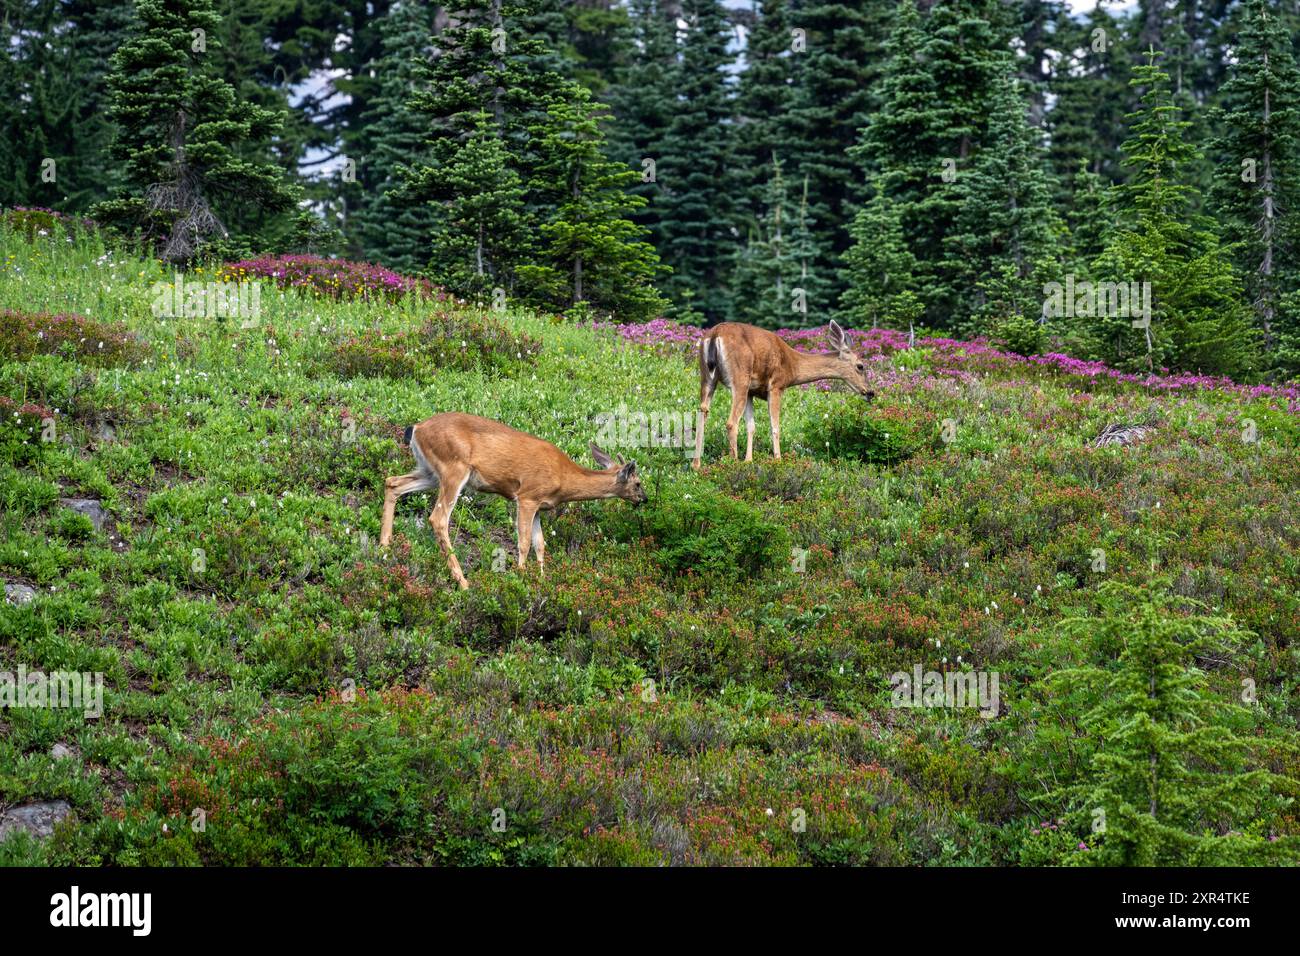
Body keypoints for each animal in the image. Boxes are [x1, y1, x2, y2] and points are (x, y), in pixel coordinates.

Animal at [379, 413, 647, 590]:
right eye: (638, 482)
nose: (644, 499)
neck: (564, 477)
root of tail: (417, 428)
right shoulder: (527, 496)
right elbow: (524, 543)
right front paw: (520, 579)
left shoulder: (539, 507)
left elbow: (540, 544)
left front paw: (541, 581)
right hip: (453, 468)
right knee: (438, 518)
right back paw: (463, 582)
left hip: (430, 471)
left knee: (393, 482)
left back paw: (384, 549)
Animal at [691, 321, 873, 470]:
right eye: (860, 366)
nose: (870, 392)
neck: (793, 366)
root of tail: (715, 335)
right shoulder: (776, 386)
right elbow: (775, 426)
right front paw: (777, 460)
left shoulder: (751, 391)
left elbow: (751, 426)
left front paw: (749, 460)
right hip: (739, 377)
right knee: (730, 422)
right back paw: (732, 463)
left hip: (707, 377)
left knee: (702, 412)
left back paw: (696, 464)